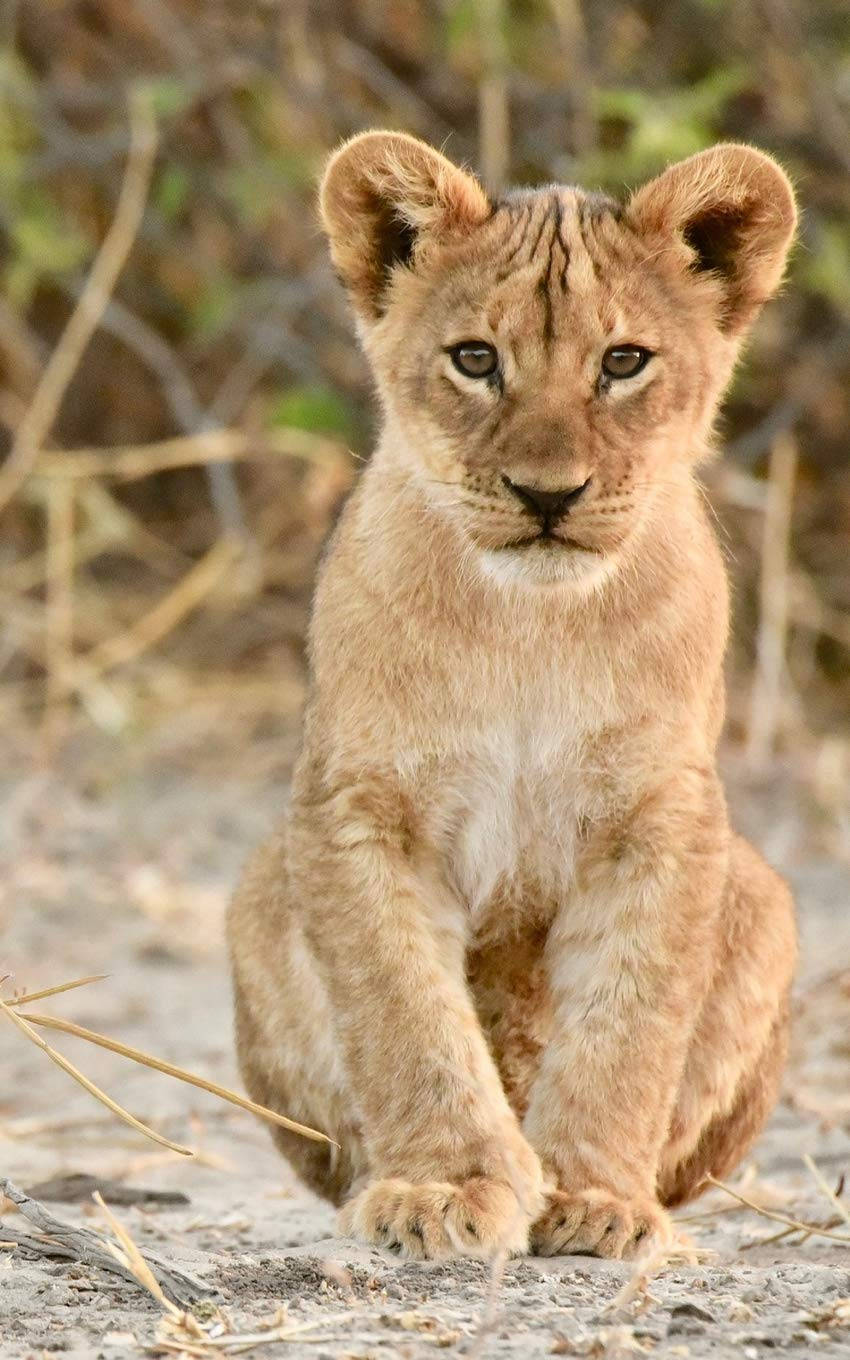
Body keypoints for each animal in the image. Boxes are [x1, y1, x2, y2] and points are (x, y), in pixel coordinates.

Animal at [227, 132, 797, 1260]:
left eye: (623, 362)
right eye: (476, 360)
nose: (547, 495)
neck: (530, 628)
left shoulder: (663, 813)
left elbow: (628, 1019)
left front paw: (594, 1197)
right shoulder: (356, 807)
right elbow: (404, 1014)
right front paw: (443, 1187)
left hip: (768, 901)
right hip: (255, 893)